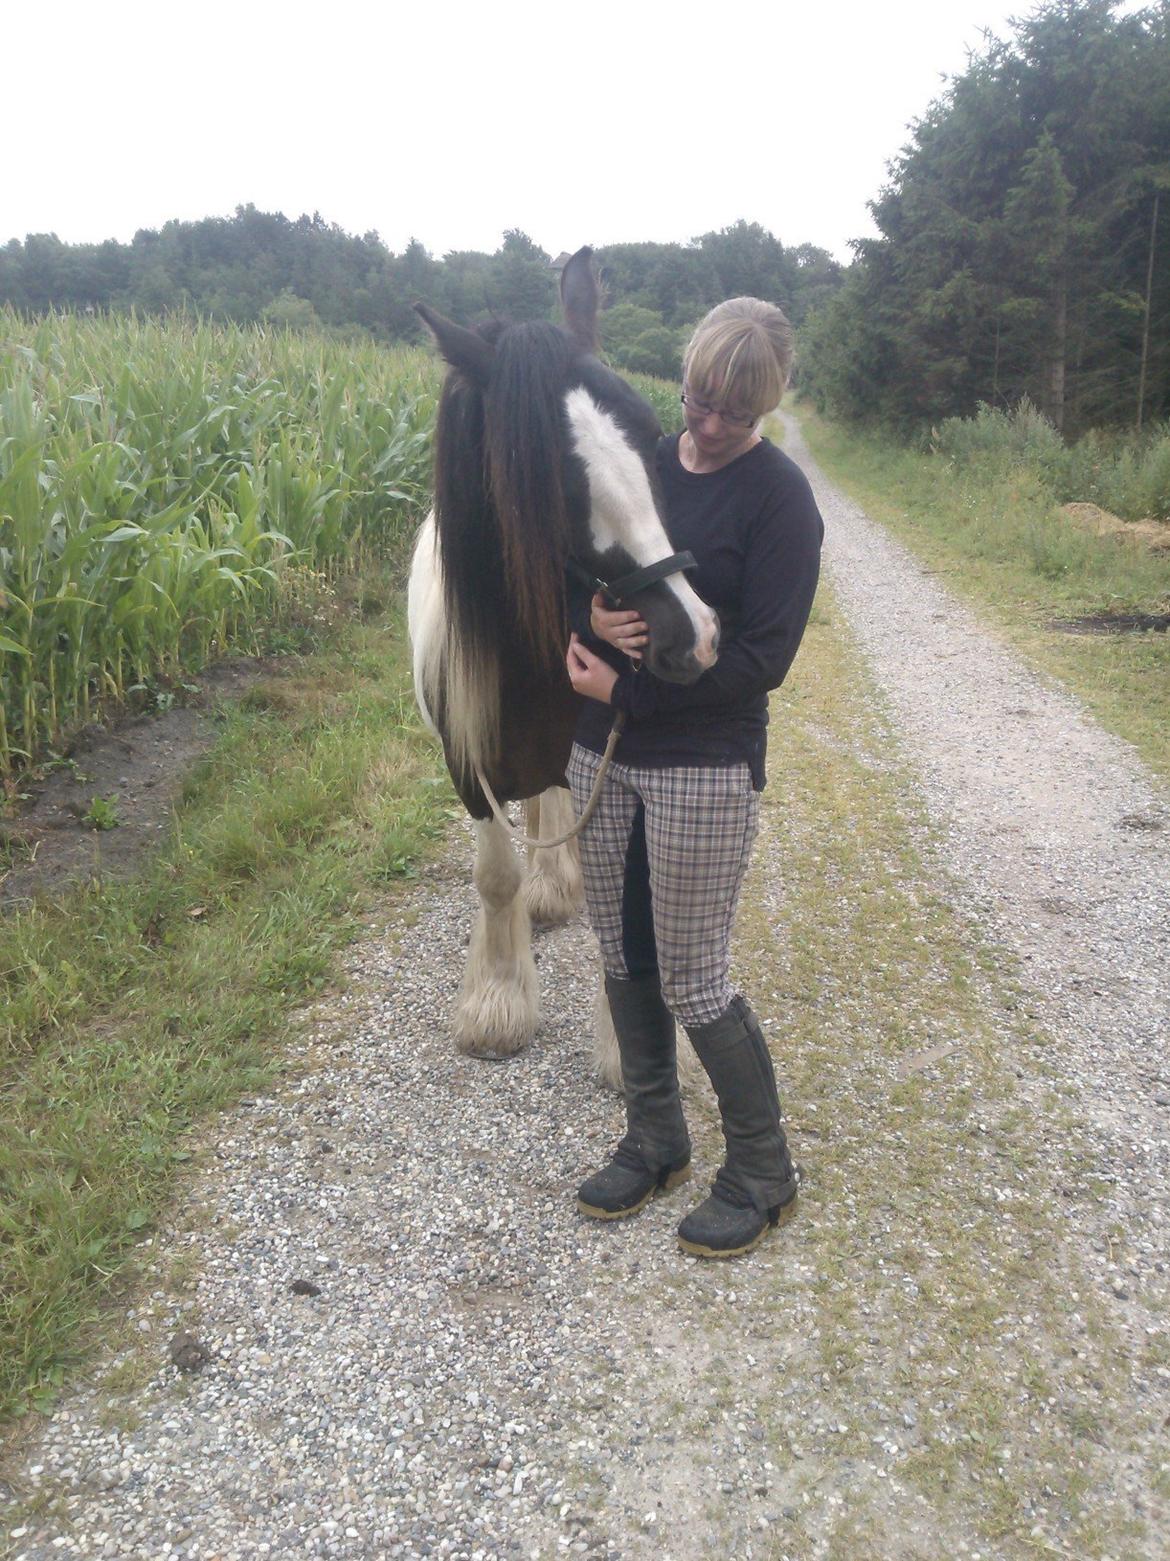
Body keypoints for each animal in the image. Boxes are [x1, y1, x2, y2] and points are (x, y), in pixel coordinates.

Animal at [411, 246, 723, 1073]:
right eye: (541, 471)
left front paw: (624, 1046)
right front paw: (497, 1004)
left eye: (652, 430)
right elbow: (496, 877)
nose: (694, 634)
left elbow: (624, 905)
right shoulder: (469, 769)